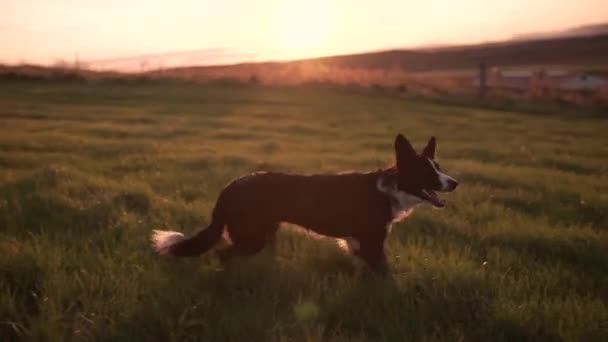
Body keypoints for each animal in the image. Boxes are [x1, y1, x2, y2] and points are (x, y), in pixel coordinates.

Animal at [151, 134, 456, 276]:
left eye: (438, 168)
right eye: (427, 172)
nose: (454, 182)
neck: (391, 188)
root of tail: (229, 187)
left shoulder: (359, 244)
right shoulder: (372, 243)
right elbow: (385, 274)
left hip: (263, 233)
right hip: (252, 238)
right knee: (223, 254)